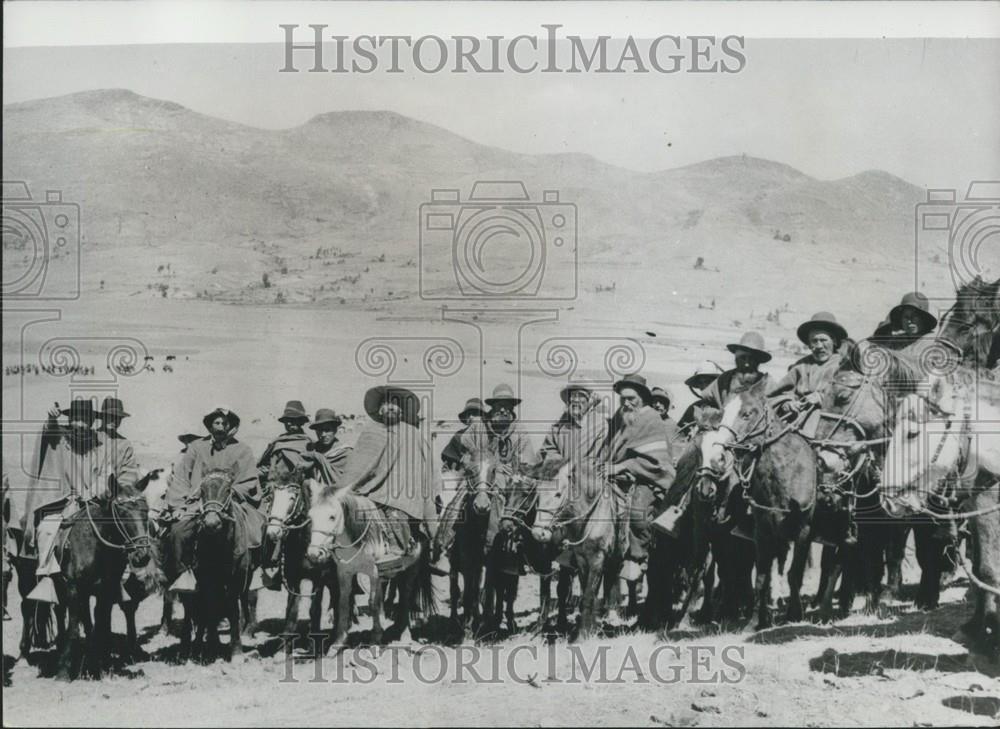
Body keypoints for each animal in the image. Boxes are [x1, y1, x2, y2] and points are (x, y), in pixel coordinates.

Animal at [177, 470, 262, 664]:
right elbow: (211, 606)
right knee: (192, 608)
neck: (219, 545)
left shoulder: (236, 579)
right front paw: (211, 648)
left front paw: (236, 650)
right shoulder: (207, 579)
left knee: (245, 599)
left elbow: (233, 609)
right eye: (202, 490)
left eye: (228, 490)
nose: (211, 523)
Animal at [306, 486, 436, 644]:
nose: (314, 554)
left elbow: (373, 603)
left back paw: (404, 633)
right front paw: (339, 641)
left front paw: (375, 637)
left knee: (406, 595)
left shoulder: (373, 572)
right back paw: (396, 627)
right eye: (311, 516)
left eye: (332, 516)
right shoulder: (344, 571)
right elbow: (343, 602)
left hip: (412, 566)